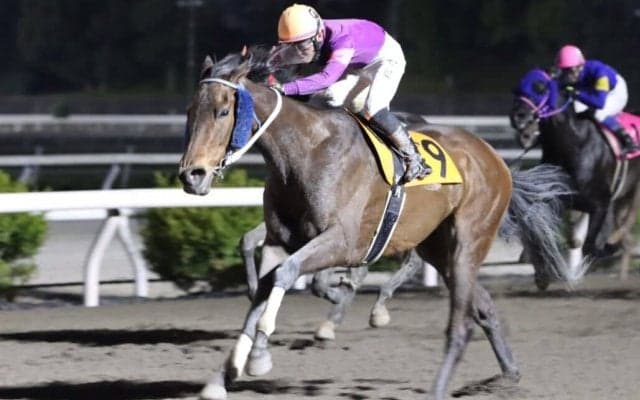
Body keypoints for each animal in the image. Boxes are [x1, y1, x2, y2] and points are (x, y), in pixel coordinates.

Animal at [179, 48, 576, 400]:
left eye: (223, 110)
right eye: (190, 111)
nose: (191, 175)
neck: (305, 152)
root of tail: (494, 157)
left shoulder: (343, 241)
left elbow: (286, 275)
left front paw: (260, 356)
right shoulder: (281, 241)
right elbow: (264, 286)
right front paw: (223, 377)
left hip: (468, 241)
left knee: (460, 324)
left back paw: (436, 385)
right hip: (438, 247)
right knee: (483, 307)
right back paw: (508, 374)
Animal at [510, 68, 640, 280]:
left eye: (541, 88)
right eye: (516, 89)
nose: (518, 117)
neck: (573, 146)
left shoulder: (600, 204)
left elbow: (589, 246)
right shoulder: (557, 200)